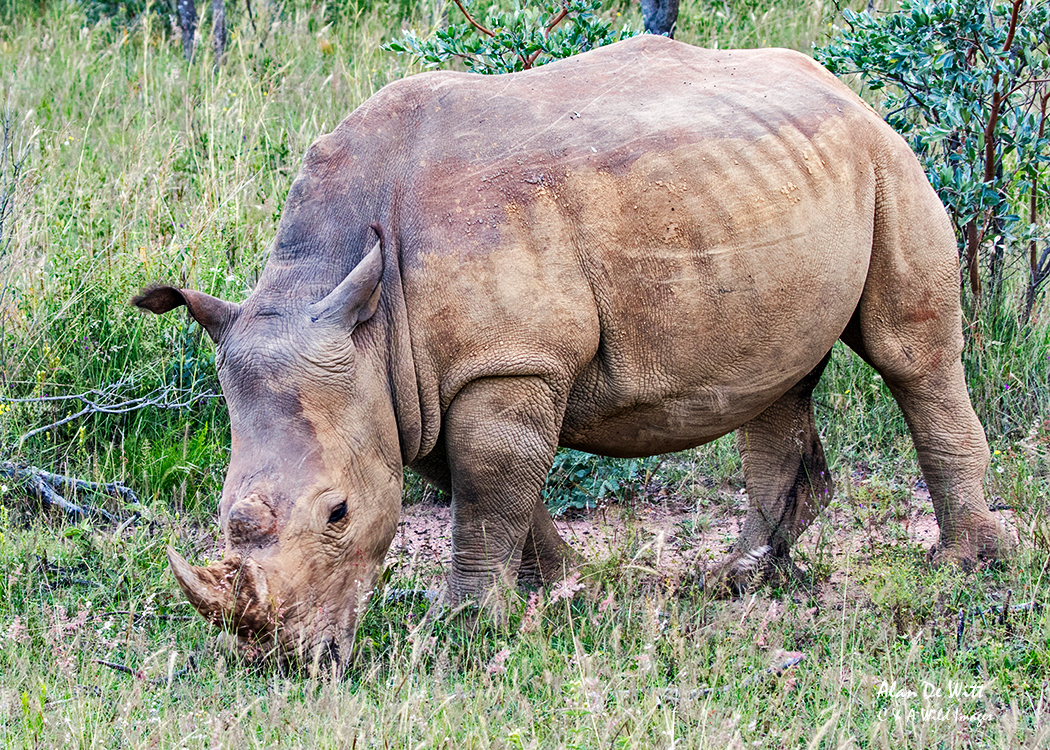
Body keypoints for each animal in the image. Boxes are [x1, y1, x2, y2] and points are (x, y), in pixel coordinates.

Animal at [135, 35, 1008, 655]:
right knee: (777, 380)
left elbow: (487, 484)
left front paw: (464, 627)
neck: (352, 301)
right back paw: (743, 579)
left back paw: (966, 566)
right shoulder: (406, 382)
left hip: (890, 164)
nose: (286, 661)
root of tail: (844, 89)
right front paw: (563, 590)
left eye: (338, 513)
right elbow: (471, 482)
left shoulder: (506, 362)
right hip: (777, 173)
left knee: (911, 355)